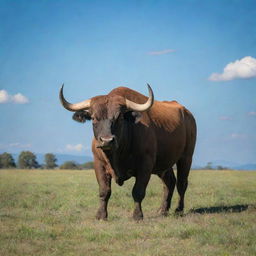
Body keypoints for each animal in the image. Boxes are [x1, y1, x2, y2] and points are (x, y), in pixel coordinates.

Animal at [59, 84, 196, 220]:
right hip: (164, 164)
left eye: (119, 117)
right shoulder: (99, 164)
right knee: (169, 182)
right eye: (93, 118)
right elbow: (104, 191)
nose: (107, 141)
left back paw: (178, 210)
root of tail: (187, 114)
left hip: (186, 157)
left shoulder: (145, 165)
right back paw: (163, 210)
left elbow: (138, 191)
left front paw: (137, 215)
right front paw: (101, 215)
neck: (117, 154)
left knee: (182, 183)